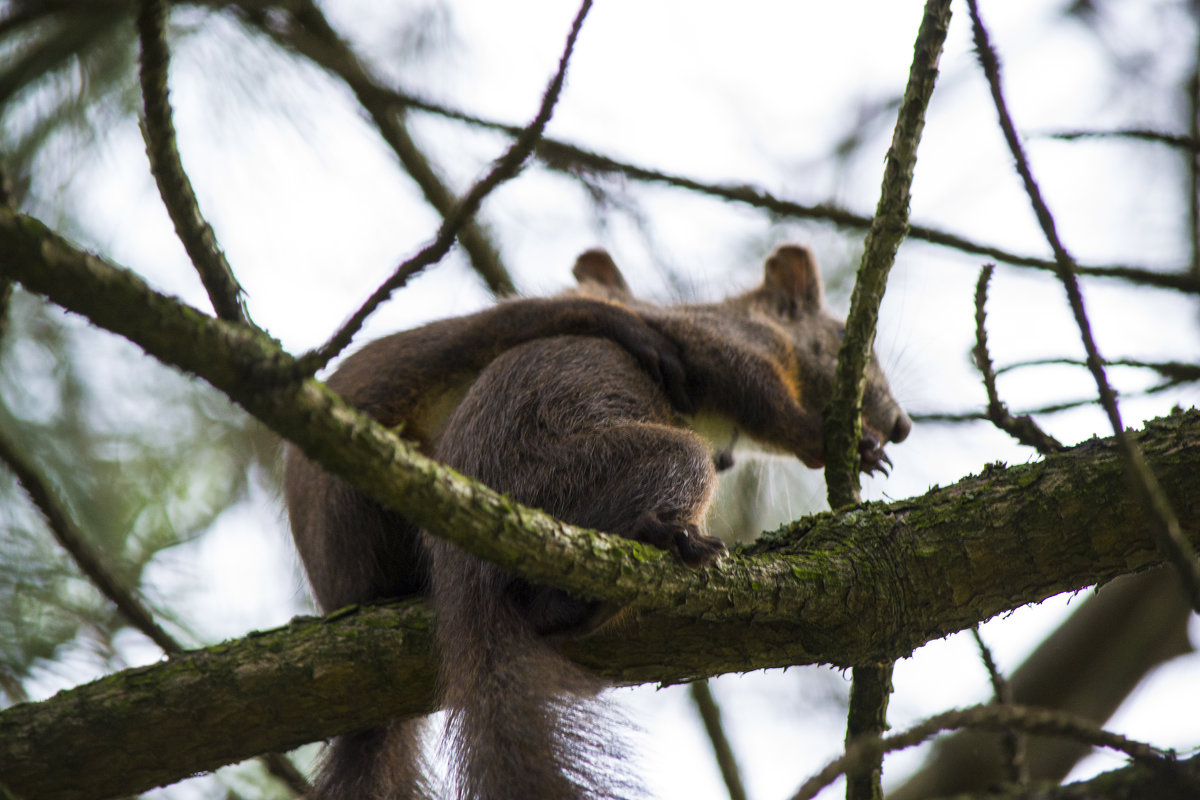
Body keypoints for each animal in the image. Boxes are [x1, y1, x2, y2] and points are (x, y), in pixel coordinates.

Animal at [285, 245, 912, 800]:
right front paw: (839, 441)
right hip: (602, 470)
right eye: (842, 345)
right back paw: (666, 536)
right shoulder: (721, 347)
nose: (903, 424)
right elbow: (763, 399)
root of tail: (462, 563)